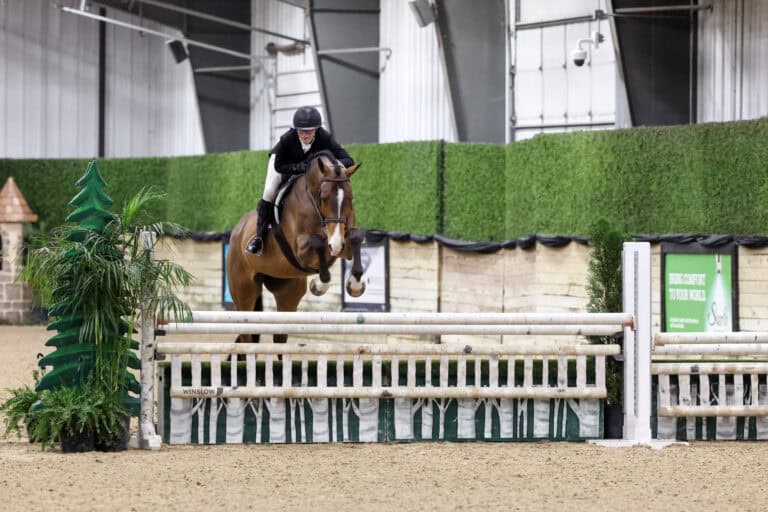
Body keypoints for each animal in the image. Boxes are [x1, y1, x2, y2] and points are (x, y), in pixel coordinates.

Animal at [226, 151, 366, 343]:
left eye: (350, 198)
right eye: (324, 198)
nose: (336, 244)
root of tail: (237, 230)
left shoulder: (343, 240)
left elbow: (356, 237)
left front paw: (356, 284)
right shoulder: (301, 252)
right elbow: (318, 243)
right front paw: (319, 285)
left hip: (287, 292)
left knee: (279, 335)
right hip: (243, 291)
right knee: (246, 332)